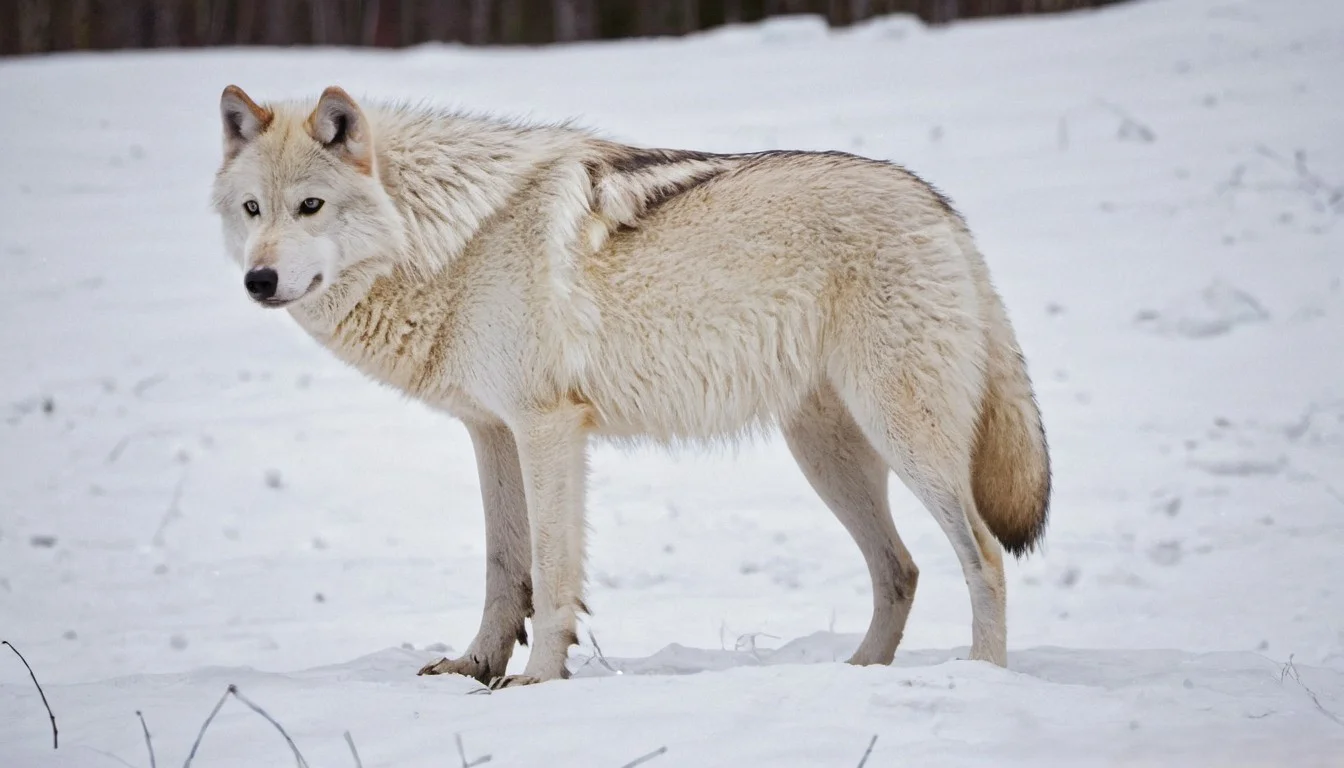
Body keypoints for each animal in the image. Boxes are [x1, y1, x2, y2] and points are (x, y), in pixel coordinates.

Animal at [210, 84, 1051, 688]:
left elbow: (551, 572)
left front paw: (538, 681)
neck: (453, 238)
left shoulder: (548, 427)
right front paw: (475, 669)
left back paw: (980, 678)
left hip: (904, 438)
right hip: (827, 455)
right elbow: (502, 570)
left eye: (311, 206)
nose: (259, 280)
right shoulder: (492, 432)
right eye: (252, 209)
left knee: (983, 557)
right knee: (900, 570)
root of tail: (938, 205)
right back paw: (859, 678)